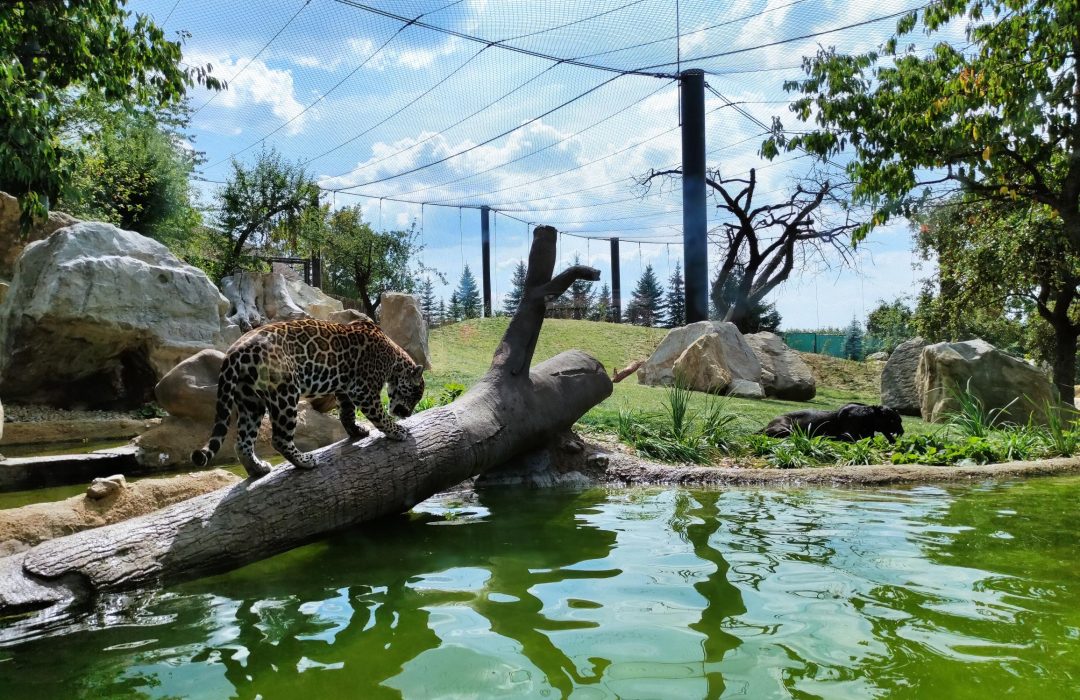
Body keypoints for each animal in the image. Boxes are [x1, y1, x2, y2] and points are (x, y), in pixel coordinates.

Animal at [192, 318, 425, 478]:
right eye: (415, 395)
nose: (407, 414)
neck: (393, 360)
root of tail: (235, 351)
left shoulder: (345, 389)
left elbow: (347, 413)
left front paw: (357, 431)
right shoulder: (364, 390)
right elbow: (380, 415)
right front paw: (397, 431)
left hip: (250, 400)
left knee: (242, 442)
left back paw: (258, 469)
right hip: (285, 393)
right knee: (280, 438)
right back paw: (305, 461)